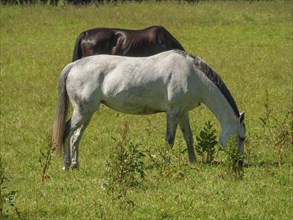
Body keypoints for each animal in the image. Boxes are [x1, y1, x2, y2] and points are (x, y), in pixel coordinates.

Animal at [52, 49, 244, 170]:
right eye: (241, 138)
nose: (240, 162)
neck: (192, 74)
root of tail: (74, 65)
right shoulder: (173, 112)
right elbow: (170, 140)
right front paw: (166, 164)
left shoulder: (183, 112)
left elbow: (188, 137)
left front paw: (193, 161)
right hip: (82, 112)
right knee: (68, 131)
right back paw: (66, 164)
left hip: (87, 114)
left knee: (76, 137)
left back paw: (76, 164)